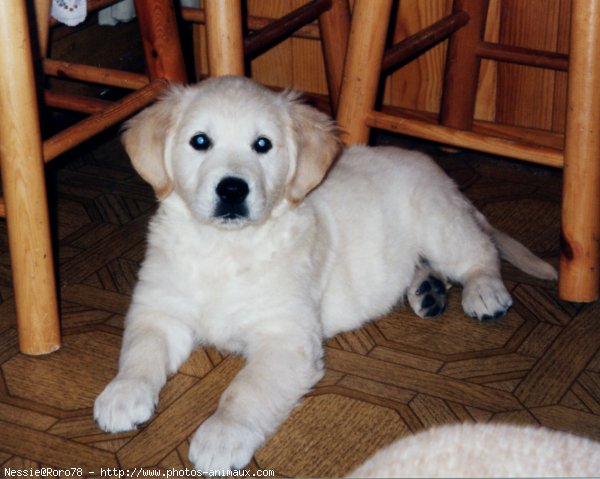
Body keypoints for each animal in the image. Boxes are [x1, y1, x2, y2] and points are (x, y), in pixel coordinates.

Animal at [94, 77, 556, 470]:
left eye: (263, 145)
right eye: (200, 142)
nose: (232, 189)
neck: (224, 248)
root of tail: (439, 174)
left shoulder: (286, 339)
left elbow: (245, 389)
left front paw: (222, 435)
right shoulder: (159, 309)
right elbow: (140, 351)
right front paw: (122, 393)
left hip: (439, 222)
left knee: (481, 252)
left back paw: (483, 293)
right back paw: (427, 289)